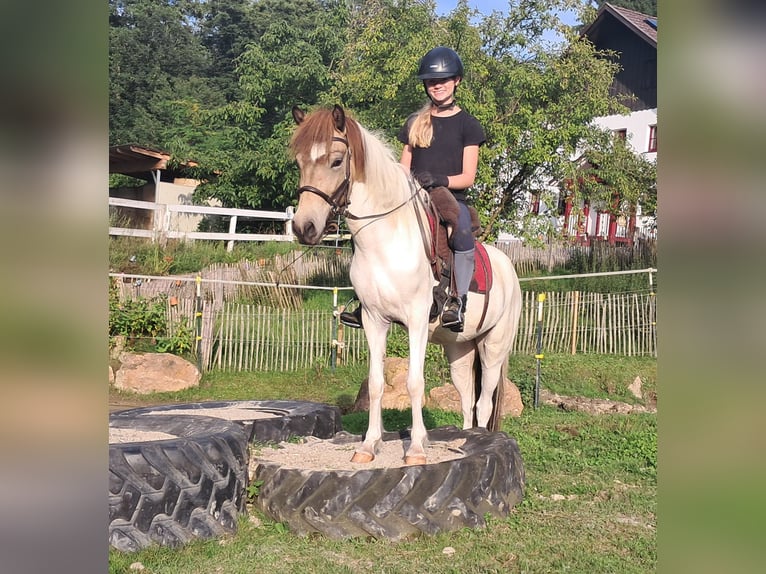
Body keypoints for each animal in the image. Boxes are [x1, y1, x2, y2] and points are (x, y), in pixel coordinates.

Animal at [290, 104, 522, 465]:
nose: (304, 227)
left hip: (493, 346)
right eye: (299, 161)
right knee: (467, 400)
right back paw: (466, 439)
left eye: (337, 161)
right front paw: (368, 446)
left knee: (484, 401)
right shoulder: (374, 320)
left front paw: (415, 449)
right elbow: (375, 382)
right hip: (460, 349)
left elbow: (414, 382)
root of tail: (508, 267)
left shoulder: (416, 321)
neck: (386, 240)